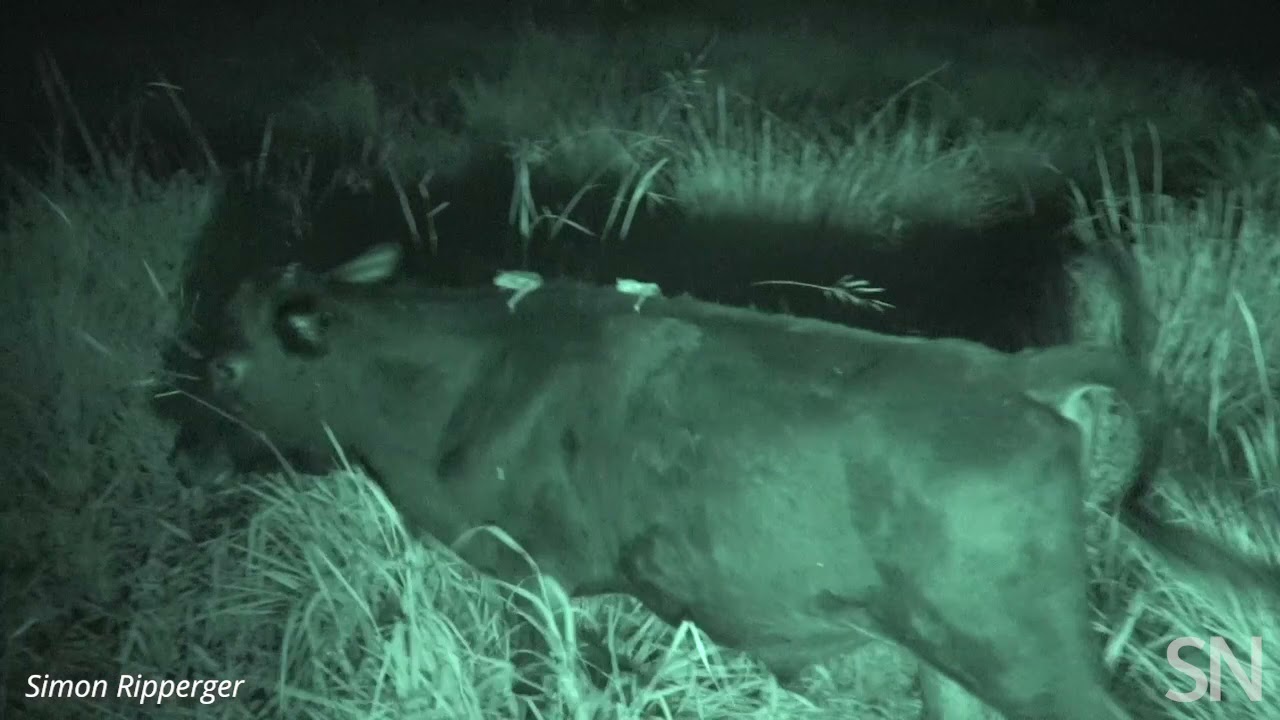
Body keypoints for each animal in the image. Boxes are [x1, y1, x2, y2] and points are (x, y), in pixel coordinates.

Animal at [204, 243, 1275, 720]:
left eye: (229, 364)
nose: (199, 454)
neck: (465, 374)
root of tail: (1010, 372)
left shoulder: (532, 573)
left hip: (1029, 656)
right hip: (956, 658)